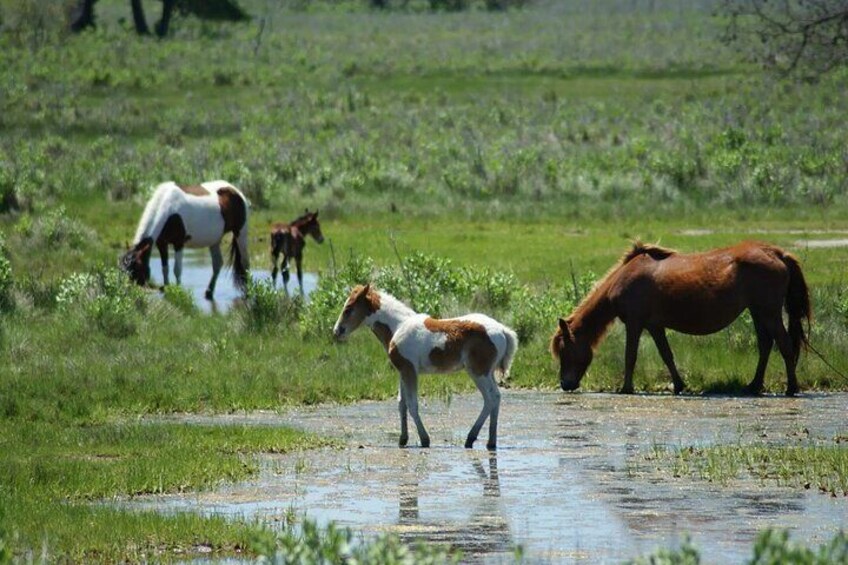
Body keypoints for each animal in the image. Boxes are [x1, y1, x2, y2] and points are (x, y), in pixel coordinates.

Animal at [120, 180, 250, 300]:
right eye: (121, 269)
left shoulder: (179, 243)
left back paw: (248, 294)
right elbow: (165, 268)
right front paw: (167, 288)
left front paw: (178, 291)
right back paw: (209, 293)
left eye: (135, 270)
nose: (126, 294)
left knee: (245, 264)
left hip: (240, 233)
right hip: (214, 240)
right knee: (218, 264)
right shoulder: (161, 243)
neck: (169, 208)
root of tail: (236, 191)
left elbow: (177, 270)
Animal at [333, 284, 518, 450]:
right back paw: (490, 442)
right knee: (496, 398)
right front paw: (403, 439)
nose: (337, 331)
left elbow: (412, 404)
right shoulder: (402, 371)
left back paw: (471, 438)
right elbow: (402, 403)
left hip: (478, 372)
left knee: (491, 398)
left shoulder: (409, 370)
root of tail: (503, 330)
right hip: (487, 373)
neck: (398, 326)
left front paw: (424, 439)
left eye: (348, 308)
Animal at [550, 241, 811, 396]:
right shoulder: (654, 326)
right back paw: (754, 386)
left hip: (769, 312)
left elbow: (630, 356)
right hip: (758, 312)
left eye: (564, 350)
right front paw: (678, 385)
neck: (624, 278)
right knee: (765, 345)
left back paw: (791, 388)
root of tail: (776, 252)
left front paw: (626, 388)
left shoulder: (635, 323)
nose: (565, 384)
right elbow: (667, 355)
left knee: (784, 345)